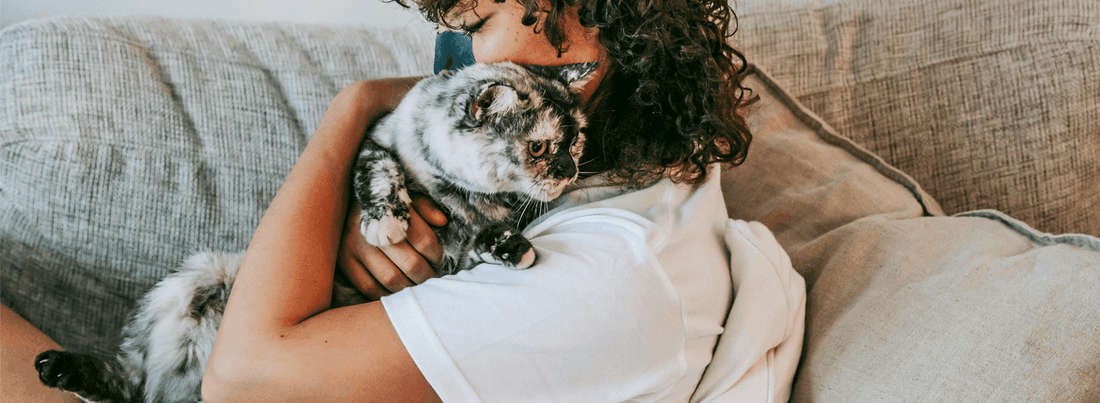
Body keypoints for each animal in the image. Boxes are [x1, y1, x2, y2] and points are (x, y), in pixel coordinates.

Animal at [34, 60, 598, 403]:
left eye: (577, 142)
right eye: (540, 147)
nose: (570, 171)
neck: (459, 194)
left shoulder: (459, 249)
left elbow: (483, 238)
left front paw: (512, 246)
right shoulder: (375, 142)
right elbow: (380, 171)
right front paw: (386, 223)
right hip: (197, 277)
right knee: (130, 376)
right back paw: (58, 368)